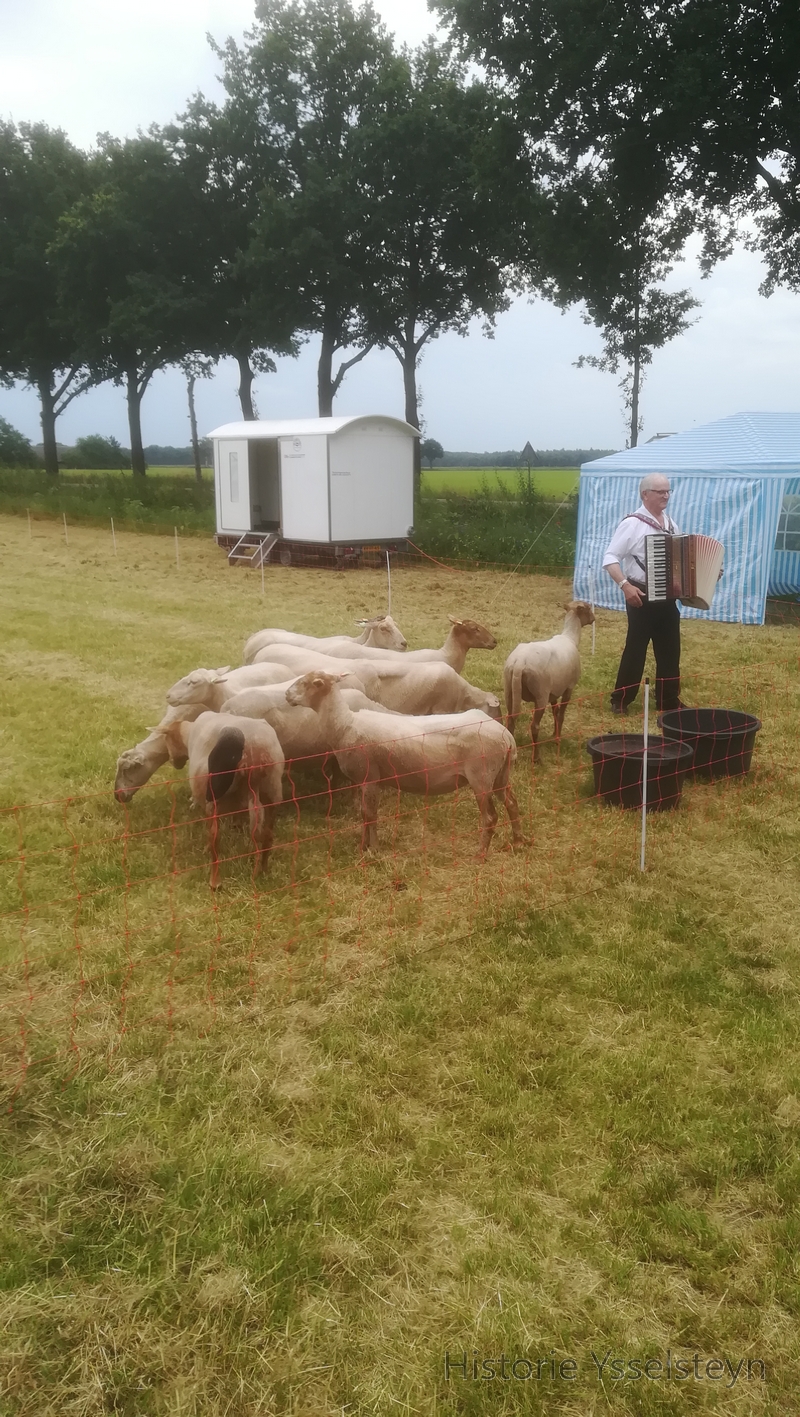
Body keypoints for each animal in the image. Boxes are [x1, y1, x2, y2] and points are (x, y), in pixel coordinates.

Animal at [159, 714, 283, 889]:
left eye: (167, 740)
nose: (174, 763)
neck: (188, 735)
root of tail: (254, 749)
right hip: (273, 790)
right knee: (267, 834)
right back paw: (263, 872)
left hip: (215, 796)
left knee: (215, 839)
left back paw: (215, 882)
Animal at [283, 671, 521, 855]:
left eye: (316, 683)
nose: (286, 695)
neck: (346, 725)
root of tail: (506, 737)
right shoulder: (366, 779)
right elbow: (364, 814)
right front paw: (363, 847)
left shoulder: (370, 776)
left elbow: (370, 814)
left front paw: (373, 850)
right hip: (500, 774)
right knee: (512, 803)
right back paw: (518, 843)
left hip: (481, 775)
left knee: (489, 817)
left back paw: (480, 855)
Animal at [504, 597, 591, 753]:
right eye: (588, 608)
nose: (593, 619)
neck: (570, 637)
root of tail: (519, 662)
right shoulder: (569, 687)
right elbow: (561, 714)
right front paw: (557, 739)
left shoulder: (554, 691)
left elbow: (555, 711)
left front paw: (553, 734)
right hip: (540, 695)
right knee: (534, 726)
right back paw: (537, 757)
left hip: (510, 690)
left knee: (511, 720)